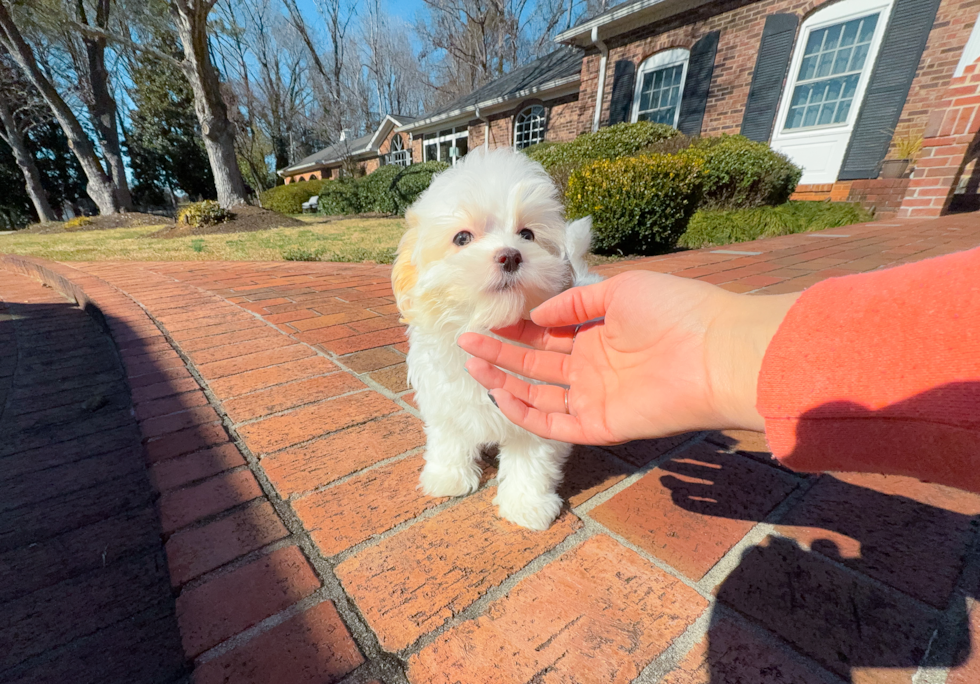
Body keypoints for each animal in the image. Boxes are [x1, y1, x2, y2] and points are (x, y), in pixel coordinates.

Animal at [392, 148, 596, 528]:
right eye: (462, 238)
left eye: (527, 234)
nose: (510, 255)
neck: (486, 324)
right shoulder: (444, 398)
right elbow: (448, 437)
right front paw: (447, 477)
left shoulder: (537, 409)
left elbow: (532, 458)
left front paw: (526, 506)